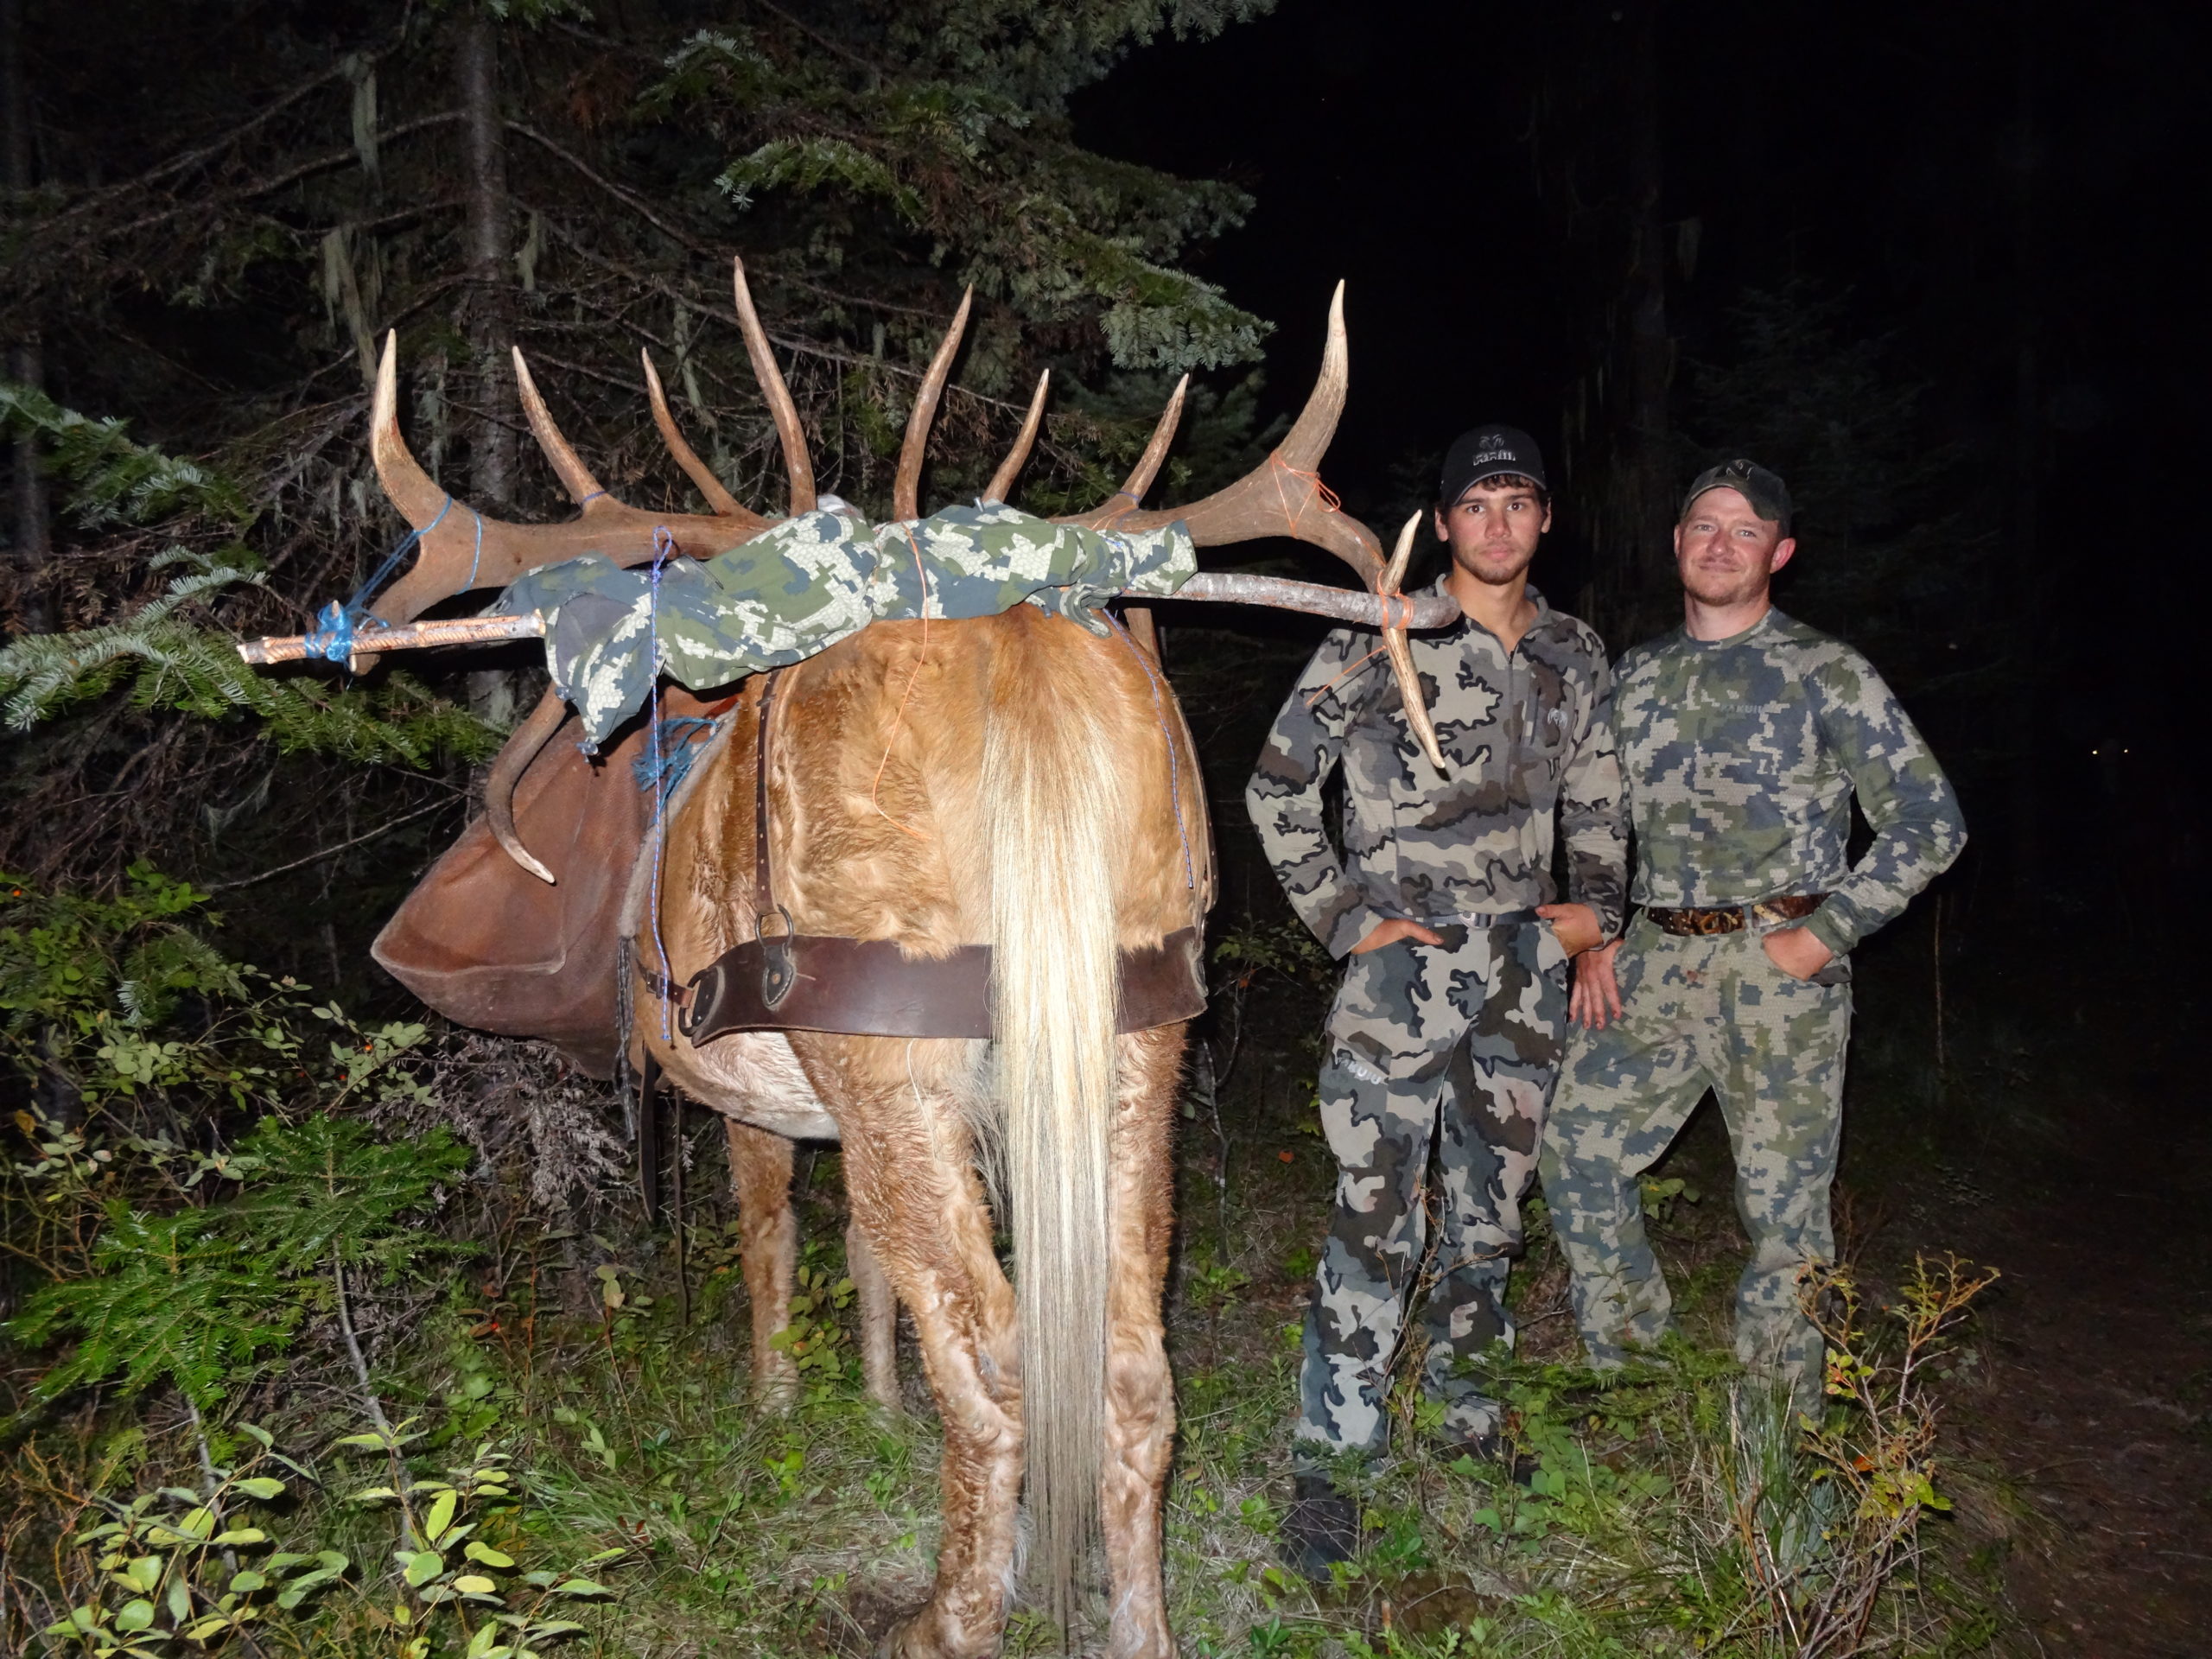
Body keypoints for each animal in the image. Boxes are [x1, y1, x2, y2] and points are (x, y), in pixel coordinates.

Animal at [335, 257, 1454, 1658]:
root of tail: (1017, 644)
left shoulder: (763, 1077)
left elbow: (769, 1237)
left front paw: (776, 1406)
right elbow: (867, 1256)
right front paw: (870, 1405)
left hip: (890, 1038)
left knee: (995, 1361)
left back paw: (944, 1616)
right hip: (1135, 1027)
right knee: (1133, 1367)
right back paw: (1133, 1620)